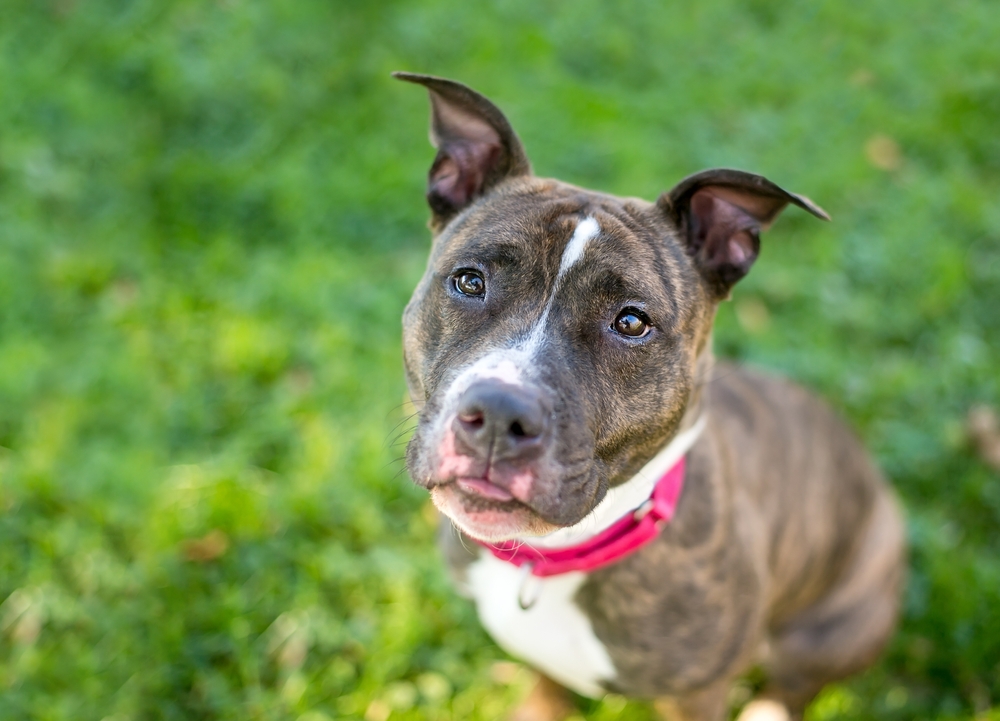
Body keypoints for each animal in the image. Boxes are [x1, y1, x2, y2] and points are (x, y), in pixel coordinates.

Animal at [390, 71, 908, 720]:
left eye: (631, 323)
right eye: (468, 281)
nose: (501, 413)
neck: (553, 560)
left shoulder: (697, 693)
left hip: (839, 623)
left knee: (793, 683)